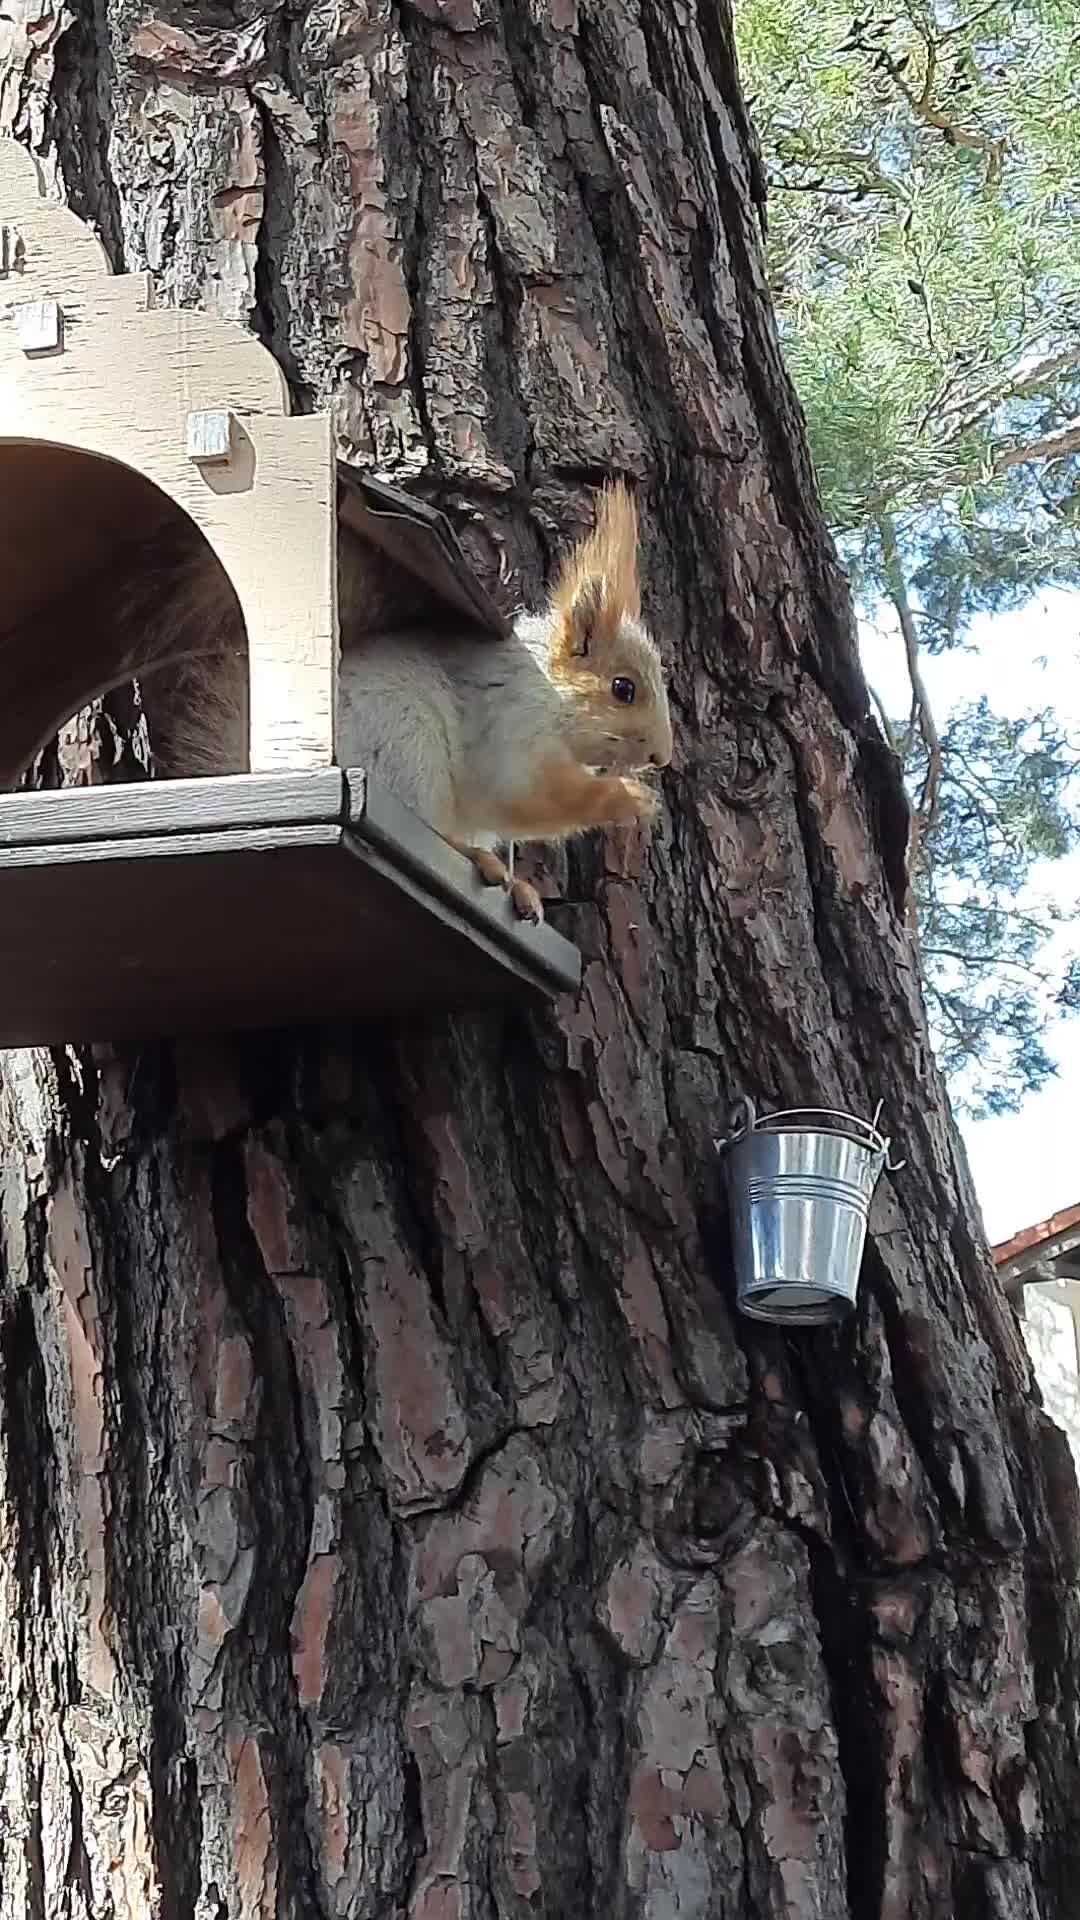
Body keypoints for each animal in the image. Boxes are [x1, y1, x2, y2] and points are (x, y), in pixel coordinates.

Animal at [138, 483, 668, 925]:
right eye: (623, 689)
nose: (662, 757)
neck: (549, 696)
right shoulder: (509, 726)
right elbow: (528, 797)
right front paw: (628, 799)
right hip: (408, 749)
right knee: (438, 835)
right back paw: (482, 860)